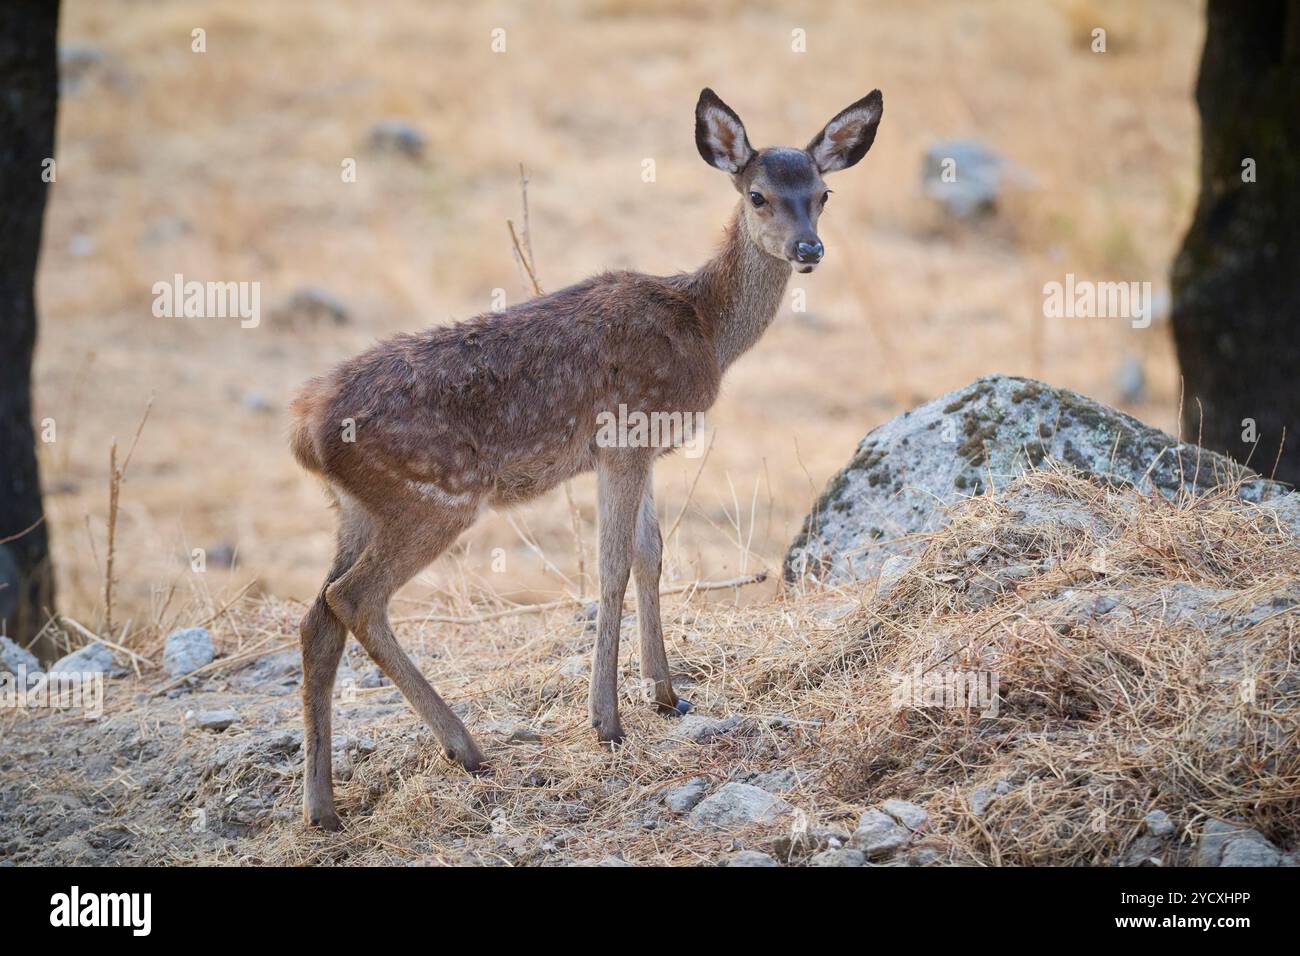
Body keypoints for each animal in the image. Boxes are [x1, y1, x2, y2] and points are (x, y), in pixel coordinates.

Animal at [289, 87, 883, 829]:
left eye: (824, 194)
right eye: (758, 195)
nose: (809, 248)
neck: (704, 327)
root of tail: (305, 429)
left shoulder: (644, 446)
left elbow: (652, 554)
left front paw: (667, 693)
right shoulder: (623, 435)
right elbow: (614, 567)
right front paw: (608, 721)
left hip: (358, 509)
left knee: (316, 618)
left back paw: (322, 807)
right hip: (433, 497)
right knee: (353, 597)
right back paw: (468, 749)